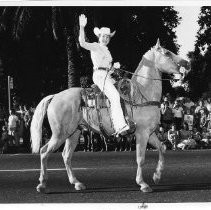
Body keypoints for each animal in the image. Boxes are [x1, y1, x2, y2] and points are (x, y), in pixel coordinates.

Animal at [30, 39, 190, 194]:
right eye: (167, 53)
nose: (186, 64)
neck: (141, 95)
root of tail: (55, 96)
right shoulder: (142, 133)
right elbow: (140, 158)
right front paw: (143, 184)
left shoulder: (150, 133)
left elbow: (162, 148)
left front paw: (157, 176)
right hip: (60, 134)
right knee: (44, 152)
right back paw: (42, 184)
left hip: (74, 133)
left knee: (66, 156)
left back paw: (76, 183)